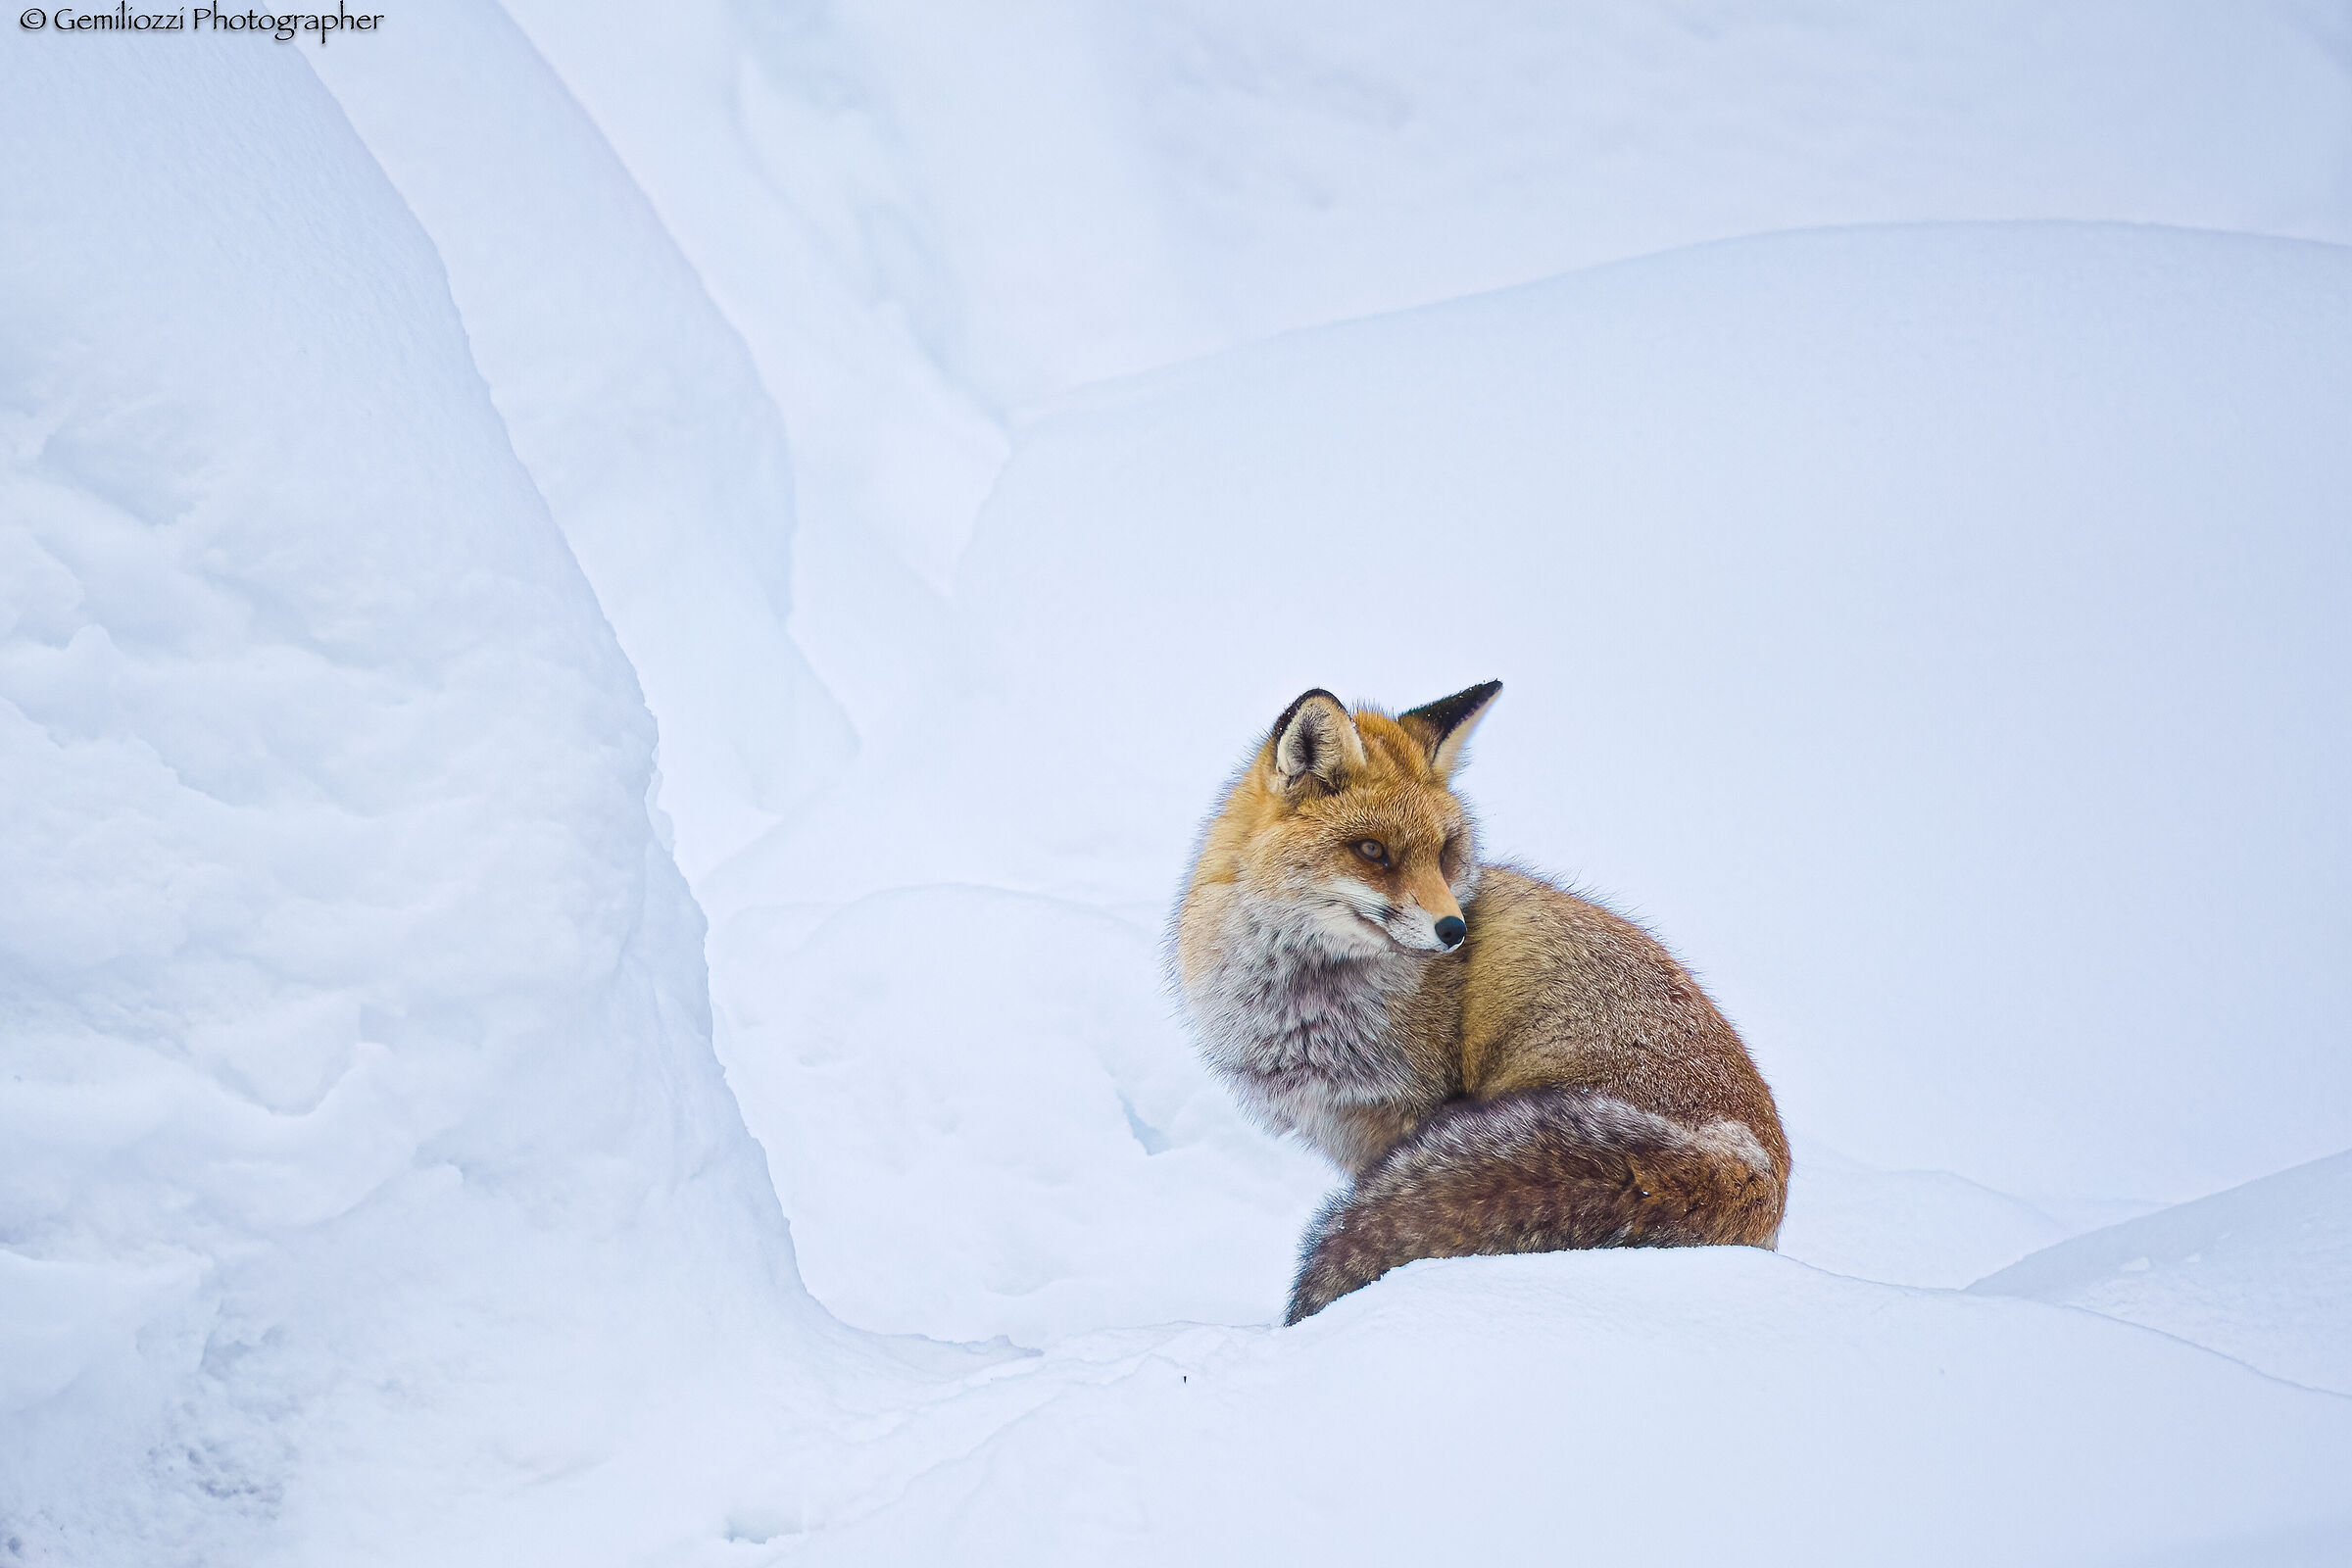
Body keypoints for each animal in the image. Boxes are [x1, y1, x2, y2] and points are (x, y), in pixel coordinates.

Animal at [1172, 680, 1789, 1323]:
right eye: (1372, 850)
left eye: (1445, 852)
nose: (1454, 930)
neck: (1305, 1005)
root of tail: (1754, 1170)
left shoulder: (1405, 1118)